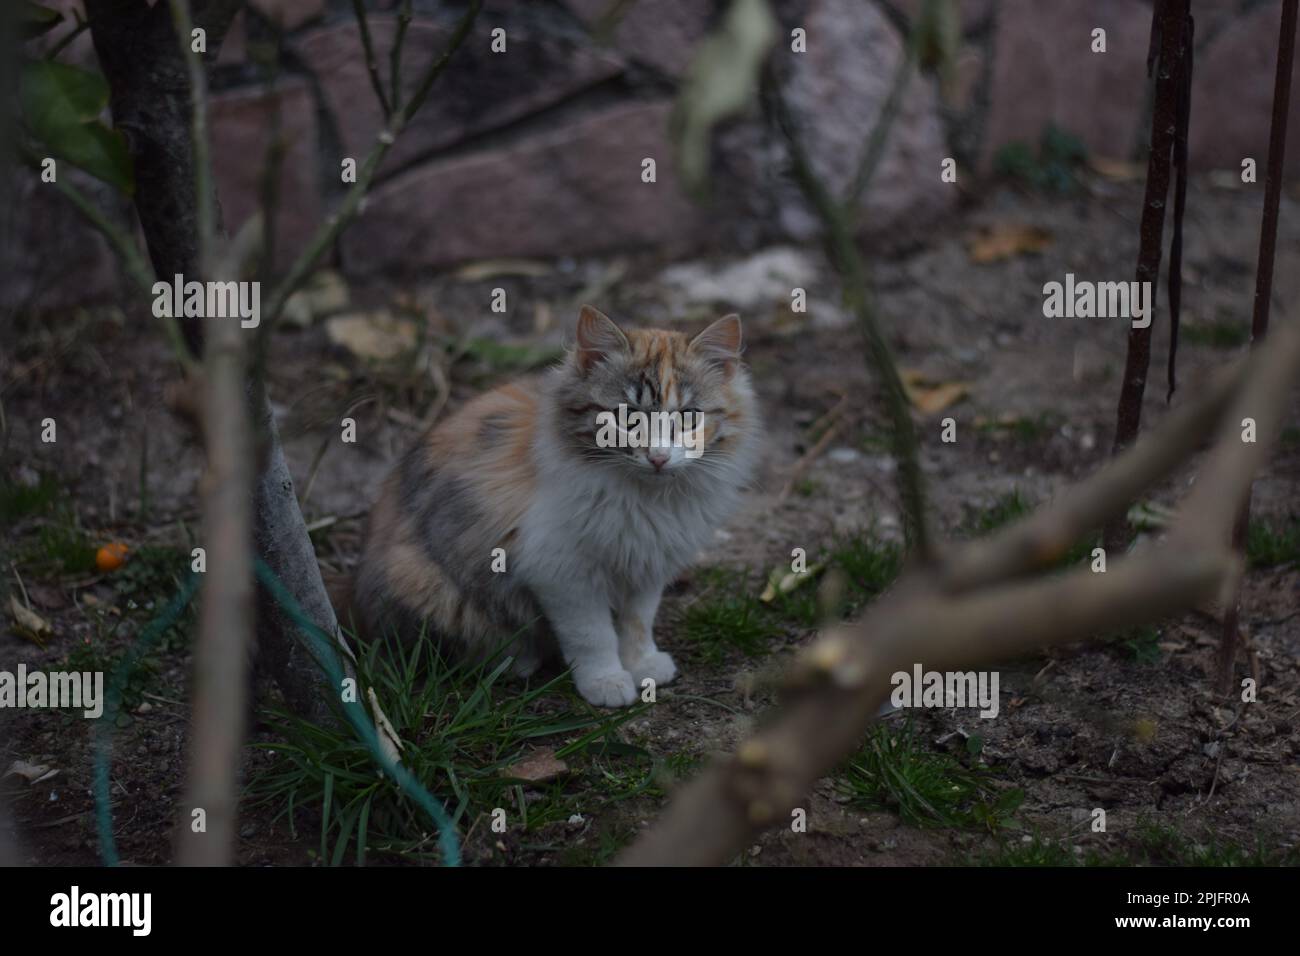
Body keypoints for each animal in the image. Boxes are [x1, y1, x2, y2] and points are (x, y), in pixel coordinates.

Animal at [356, 308, 759, 712]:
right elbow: (593, 636)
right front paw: (607, 682)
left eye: (689, 417)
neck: (647, 498)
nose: (658, 458)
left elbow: (637, 623)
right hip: (430, 584)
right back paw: (515, 661)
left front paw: (642, 665)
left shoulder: (647, 565)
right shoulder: (563, 573)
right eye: (628, 417)